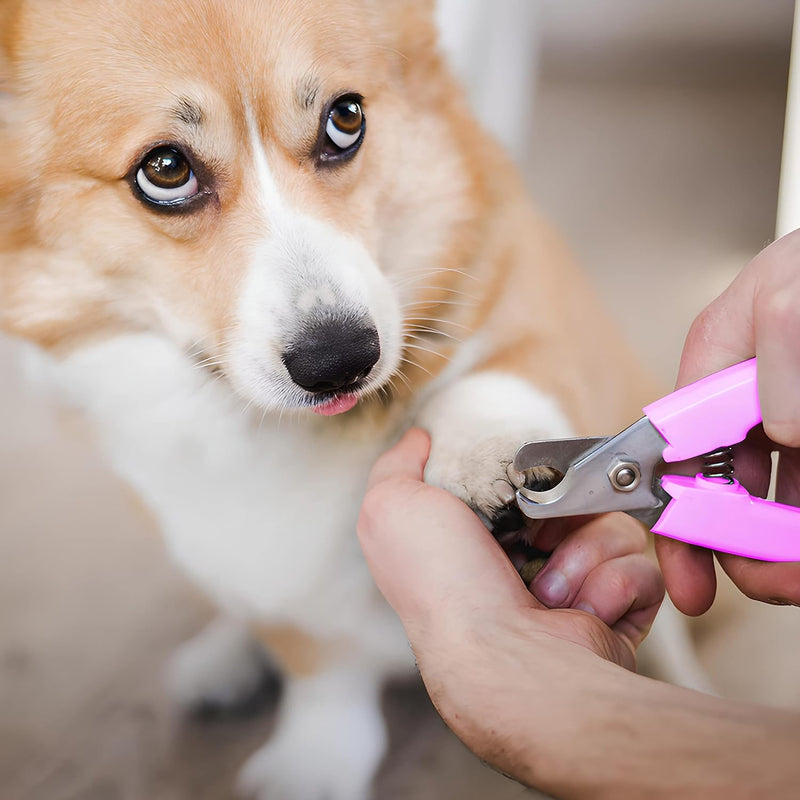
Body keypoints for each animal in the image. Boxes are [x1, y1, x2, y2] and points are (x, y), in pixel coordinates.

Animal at [0, 0, 700, 796]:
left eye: (345, 119)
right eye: (166, 170)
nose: (341, 362)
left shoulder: (533, 309)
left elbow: (496, 378)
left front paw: (480, 453)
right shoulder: (245, 550)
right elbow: (319, 666)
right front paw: (315, 758)